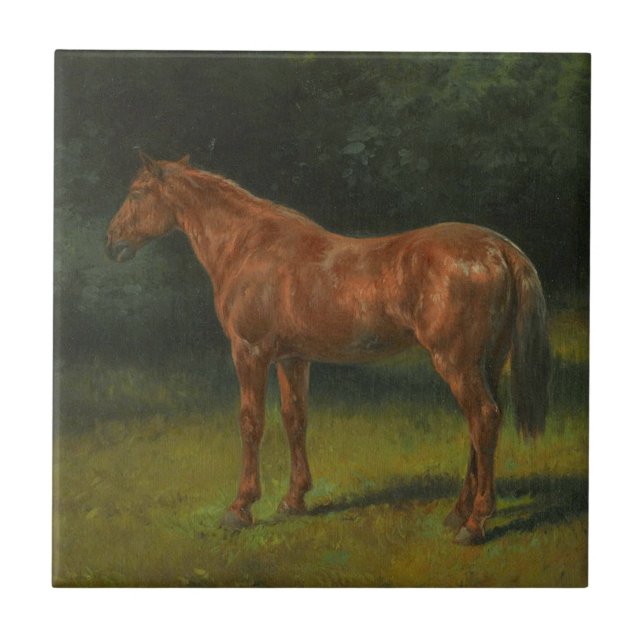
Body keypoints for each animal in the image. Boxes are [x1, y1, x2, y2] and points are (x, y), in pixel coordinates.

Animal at [106, 152, 551, 545]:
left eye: (137, 192)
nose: (111, 243)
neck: (249, 246)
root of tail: (499, 248)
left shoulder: (249, 352)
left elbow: (251, 423)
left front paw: (240, 508)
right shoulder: (292, 358)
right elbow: (294, 419)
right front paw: (293, 500)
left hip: (457, 362)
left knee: (484, 419)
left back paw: (474, 523)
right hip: (487, 360)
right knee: (483, 424)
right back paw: (458, 512)